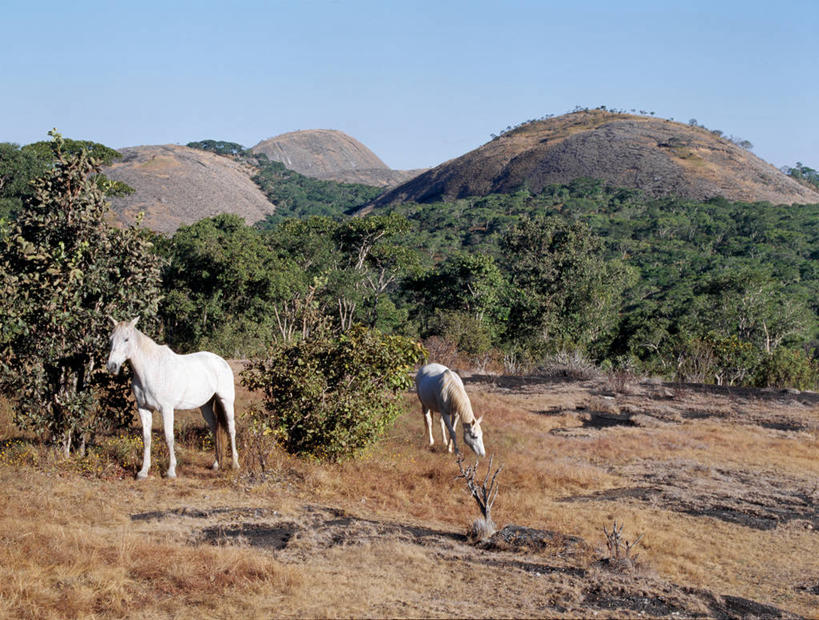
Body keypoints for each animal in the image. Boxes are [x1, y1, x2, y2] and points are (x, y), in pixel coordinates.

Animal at [107, 318, 239, 478]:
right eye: (110, 339)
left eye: (126, 339)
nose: (112, 366)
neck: (151, 370)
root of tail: (221, 361)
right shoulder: (144, 409)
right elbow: (146, 438)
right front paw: (143, 471)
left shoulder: (166, 409)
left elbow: (169, 438)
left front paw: (171, 471)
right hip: (206, 405)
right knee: (215, 429)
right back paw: (216, 464)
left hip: (226, 401)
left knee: (231, 429)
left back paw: (235, 464)